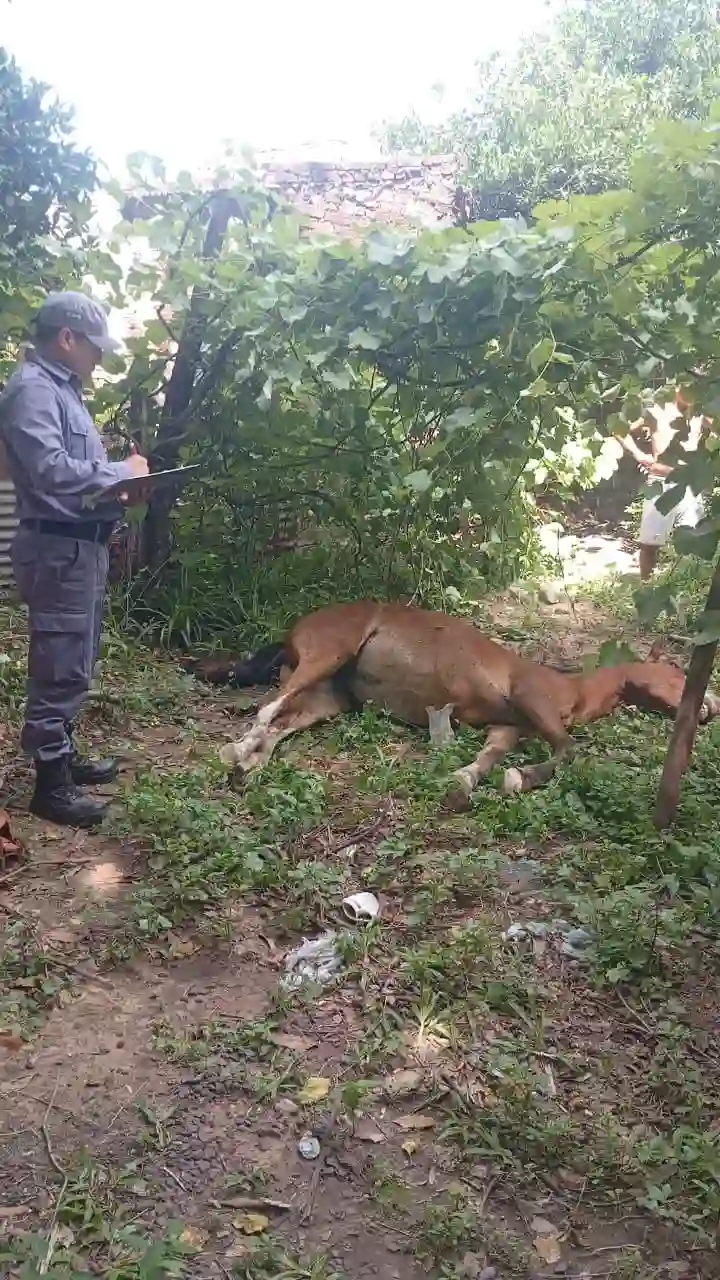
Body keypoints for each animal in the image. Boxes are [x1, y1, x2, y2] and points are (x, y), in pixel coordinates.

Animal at [191, 600, 720, 804]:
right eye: (677, 673)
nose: (709, 707)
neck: (571, 689)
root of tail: (294, 631)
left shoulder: (511, 725)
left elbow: (490, 755)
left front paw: (467, 780)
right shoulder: (532, 700)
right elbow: (569, 750)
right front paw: (521, 777)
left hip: (329, 699)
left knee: (281, 722)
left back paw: (246, 767)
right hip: (326, 655)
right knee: (266, 709)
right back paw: (236, 753)